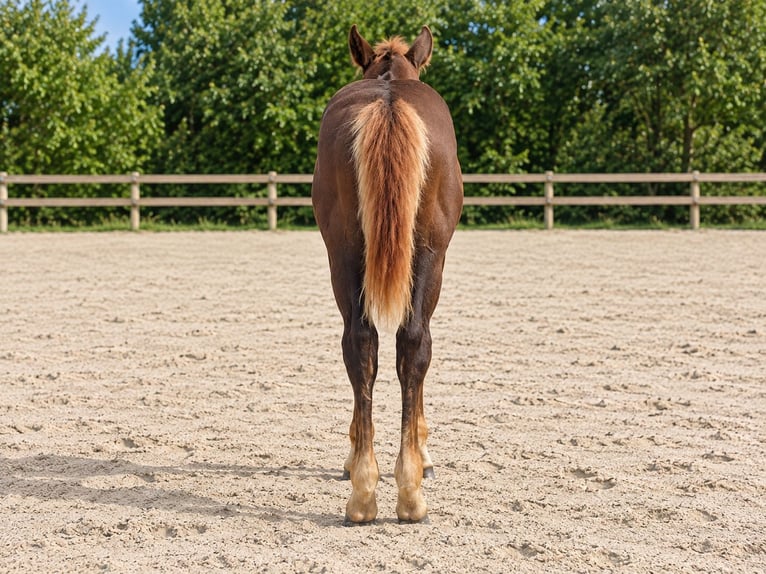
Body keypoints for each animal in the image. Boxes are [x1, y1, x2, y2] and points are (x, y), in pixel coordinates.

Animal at [312, 25, 463, 525]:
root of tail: (389, 102)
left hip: (343, 253)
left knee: (365, 343)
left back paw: (367, 492)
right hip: (428, 253)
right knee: (412, 342)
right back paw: (404, 493)